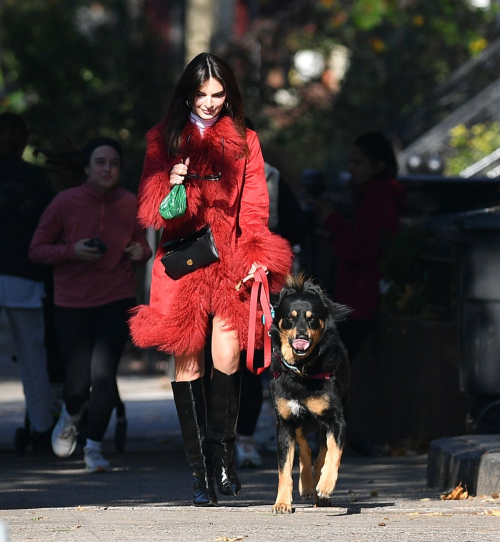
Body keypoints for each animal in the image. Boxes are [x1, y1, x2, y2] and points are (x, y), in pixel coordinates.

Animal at [268, 276, 350, 516]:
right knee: (304, 447)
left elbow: (333, 454)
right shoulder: (284, 423)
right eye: (290, 318)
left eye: (312, 319)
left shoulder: (336, 419)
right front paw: (282, 502)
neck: (301, 371)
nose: (302, 336)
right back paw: (306, 484)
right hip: (296, 420)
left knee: (322, 451)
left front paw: (326, 486)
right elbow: (284, 469)